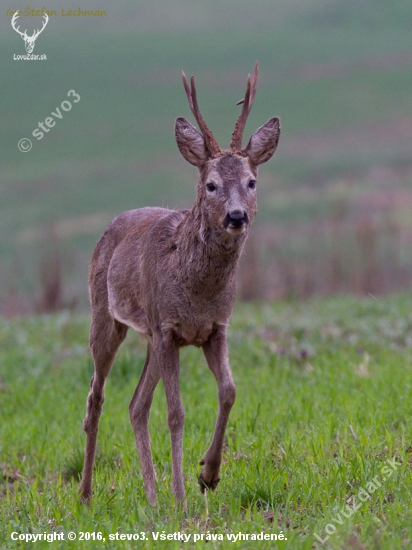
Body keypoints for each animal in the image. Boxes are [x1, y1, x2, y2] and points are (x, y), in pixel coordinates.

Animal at [78, 62, 280, 506]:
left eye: (252, 181)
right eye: (211, 185)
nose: (236, 216)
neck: (197, 291)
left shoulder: (214, 328)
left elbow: (229, 391)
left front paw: (208, 474)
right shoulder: (169, 329)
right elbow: (176, 412)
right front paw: (184, 496)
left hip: (149, 336)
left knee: (136, 404)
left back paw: (152, 497)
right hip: (106, 316)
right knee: (96, 395)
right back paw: (85, 493)